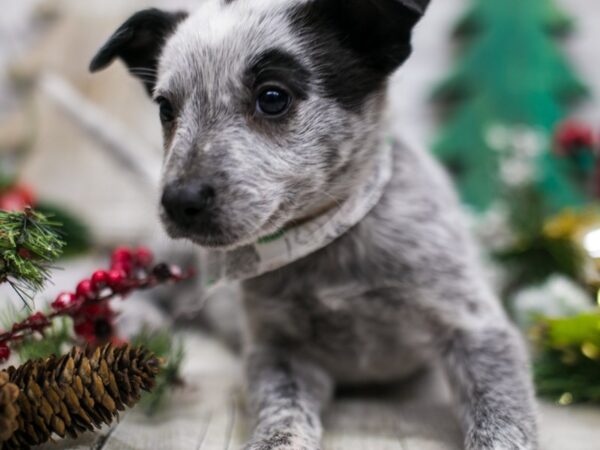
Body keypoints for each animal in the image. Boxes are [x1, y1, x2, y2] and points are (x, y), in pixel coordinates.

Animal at [92, 1, 540, 448]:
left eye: (273, 97)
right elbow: (282, 411)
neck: (327, 239)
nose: (178, 201)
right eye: (166, 109)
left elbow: (501, 415)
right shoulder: (279, 351)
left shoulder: (476, 327)